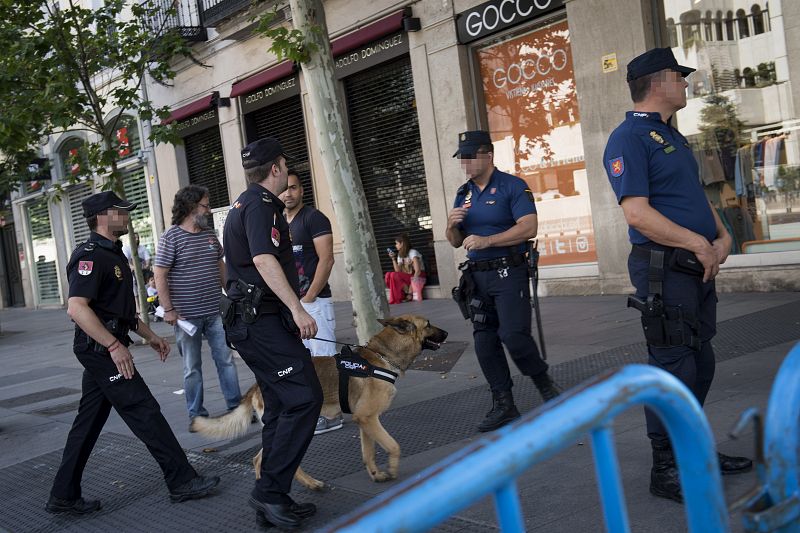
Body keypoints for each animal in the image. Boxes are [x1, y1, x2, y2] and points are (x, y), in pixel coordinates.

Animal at [191, 314, 446, 488]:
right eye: (428, 324)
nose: (445, 334)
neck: (382, 356)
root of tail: (257, 386)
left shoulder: (365, 421)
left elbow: (369, 453)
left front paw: (376, 474)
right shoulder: (368, 418)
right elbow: (393, 445)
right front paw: (393, 469)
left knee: (258, 459)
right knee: (275, 461)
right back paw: (305, 486)